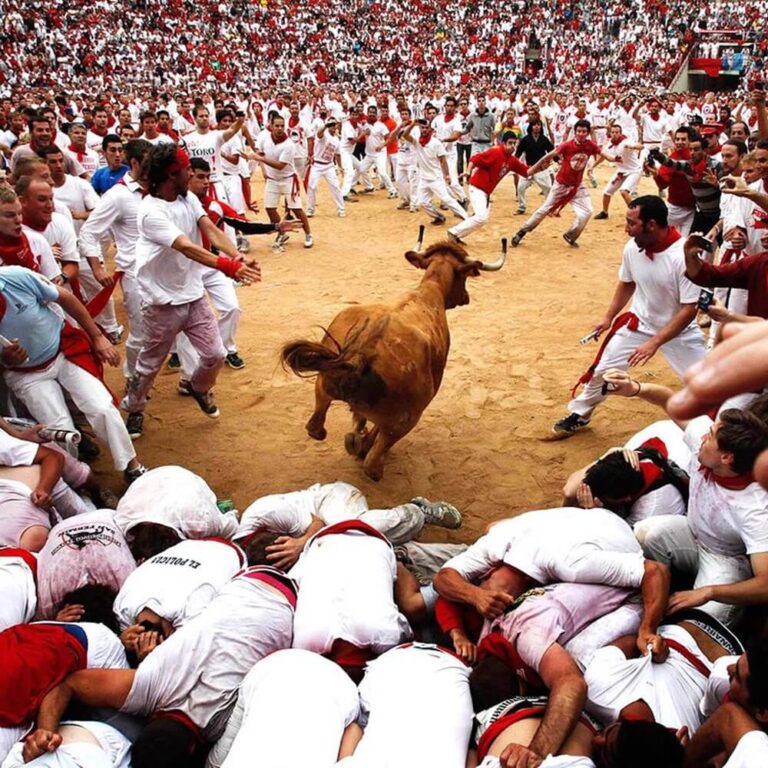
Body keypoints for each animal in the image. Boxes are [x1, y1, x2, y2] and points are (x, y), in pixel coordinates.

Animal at [280, 228, 508, 480]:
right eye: (465, 277)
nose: (466, 298)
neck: (429, 292)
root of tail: (362, 354)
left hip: (322, 386)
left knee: (316, 427)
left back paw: (352, 440)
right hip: (407, 419)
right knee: (373, 459)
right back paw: (370, 457)